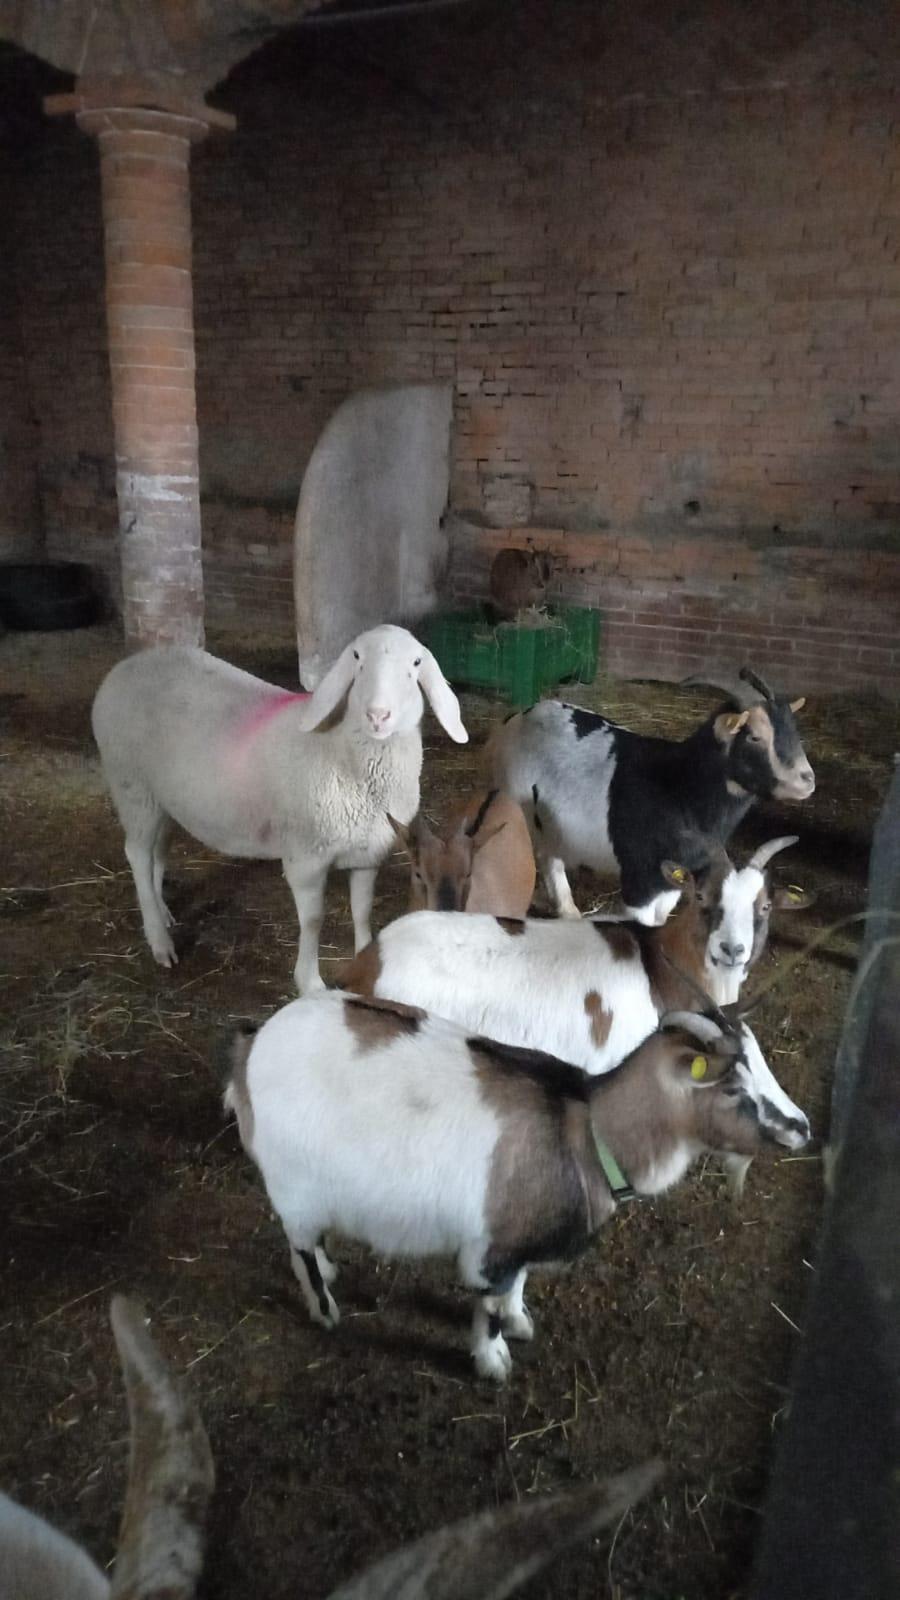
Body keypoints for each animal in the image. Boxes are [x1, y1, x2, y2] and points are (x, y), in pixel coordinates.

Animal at [91, 625, 467, 993]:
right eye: (357, 657)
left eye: (416, 662)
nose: (378, 715)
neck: (343, 753)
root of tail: (126, 667)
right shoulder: (306, 858)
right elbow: (313, 920)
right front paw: (310, 983)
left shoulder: (369, 852)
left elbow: (362, 909)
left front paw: (365, 956)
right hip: (132, 787)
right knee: (137, 855)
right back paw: (159, 940)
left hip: (163, 799)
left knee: (157, 851)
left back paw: (161, 912)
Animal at [225, 993, 809, 1382]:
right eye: (732, 1087)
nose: (801, 1127)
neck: (586, 1134)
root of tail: (253, 1046)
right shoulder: (493, 1248)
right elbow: (487, 1307)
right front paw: (494, 1362)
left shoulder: (524, 1230)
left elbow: (518, 1287)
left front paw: (520, 1320)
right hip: (294, 1183)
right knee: (300, 1247)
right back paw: (325, 1309)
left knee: (307, 1243)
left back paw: (328, 1269)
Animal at [489, 665, 814, 925]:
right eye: (754, 736)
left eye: (794, 732)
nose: (807, 779)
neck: (679, 787)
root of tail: (518, 717)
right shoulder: (640, 879)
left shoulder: (672, 881)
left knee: (551, 854)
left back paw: (568, 911)